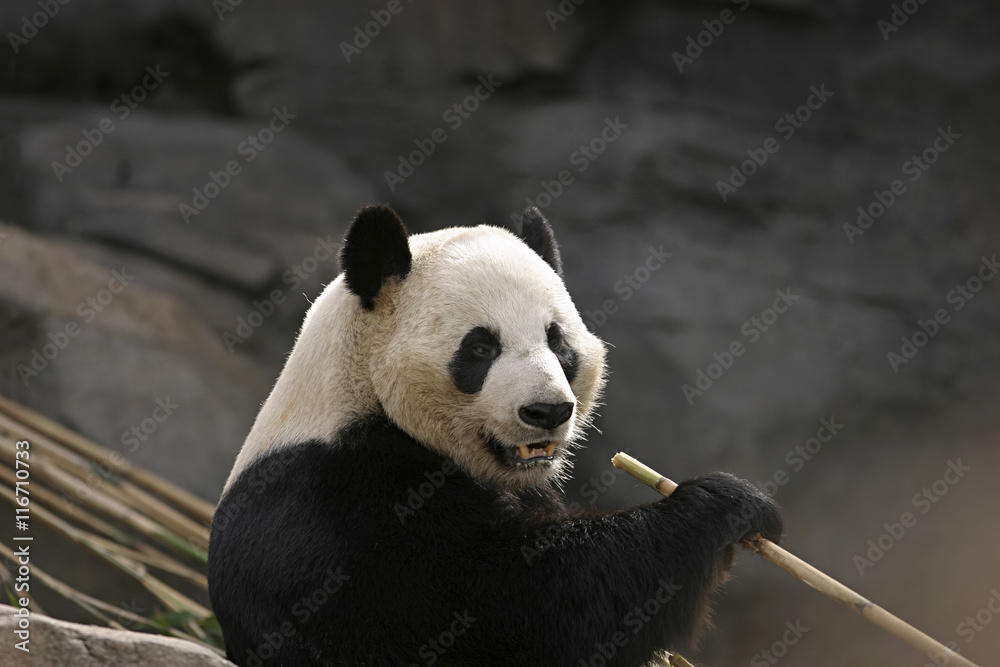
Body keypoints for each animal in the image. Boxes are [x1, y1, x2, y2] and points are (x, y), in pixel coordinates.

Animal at [208, 204, 783, 667]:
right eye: (481, 348)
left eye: (557, 341)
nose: (547, 411)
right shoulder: (340, 507)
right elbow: (526, 609)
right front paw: (726, 503)